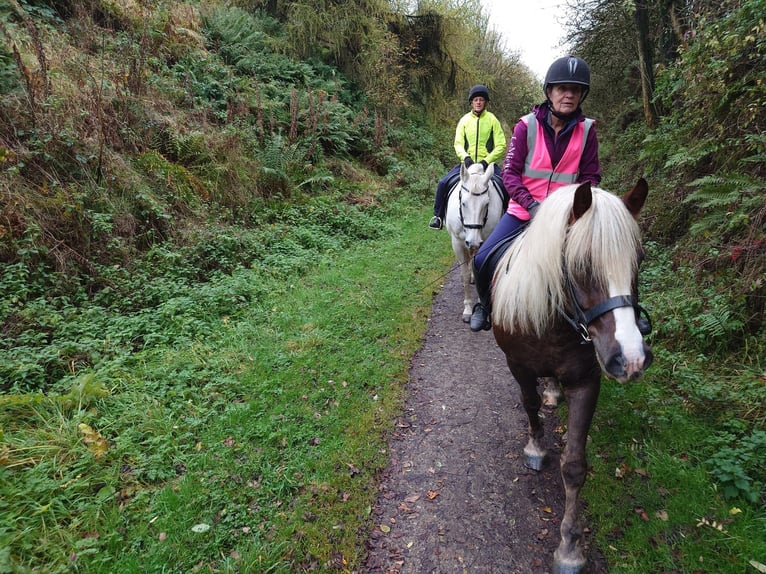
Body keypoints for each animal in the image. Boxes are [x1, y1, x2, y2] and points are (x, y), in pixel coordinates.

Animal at [492, 180, 656, 574]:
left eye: (639, 260)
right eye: (582, 265)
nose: (630, 359)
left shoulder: (586, 382)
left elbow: (575, 466)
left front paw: (569, 547)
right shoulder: (518, 366)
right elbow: (529, 404)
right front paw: (536, 448)